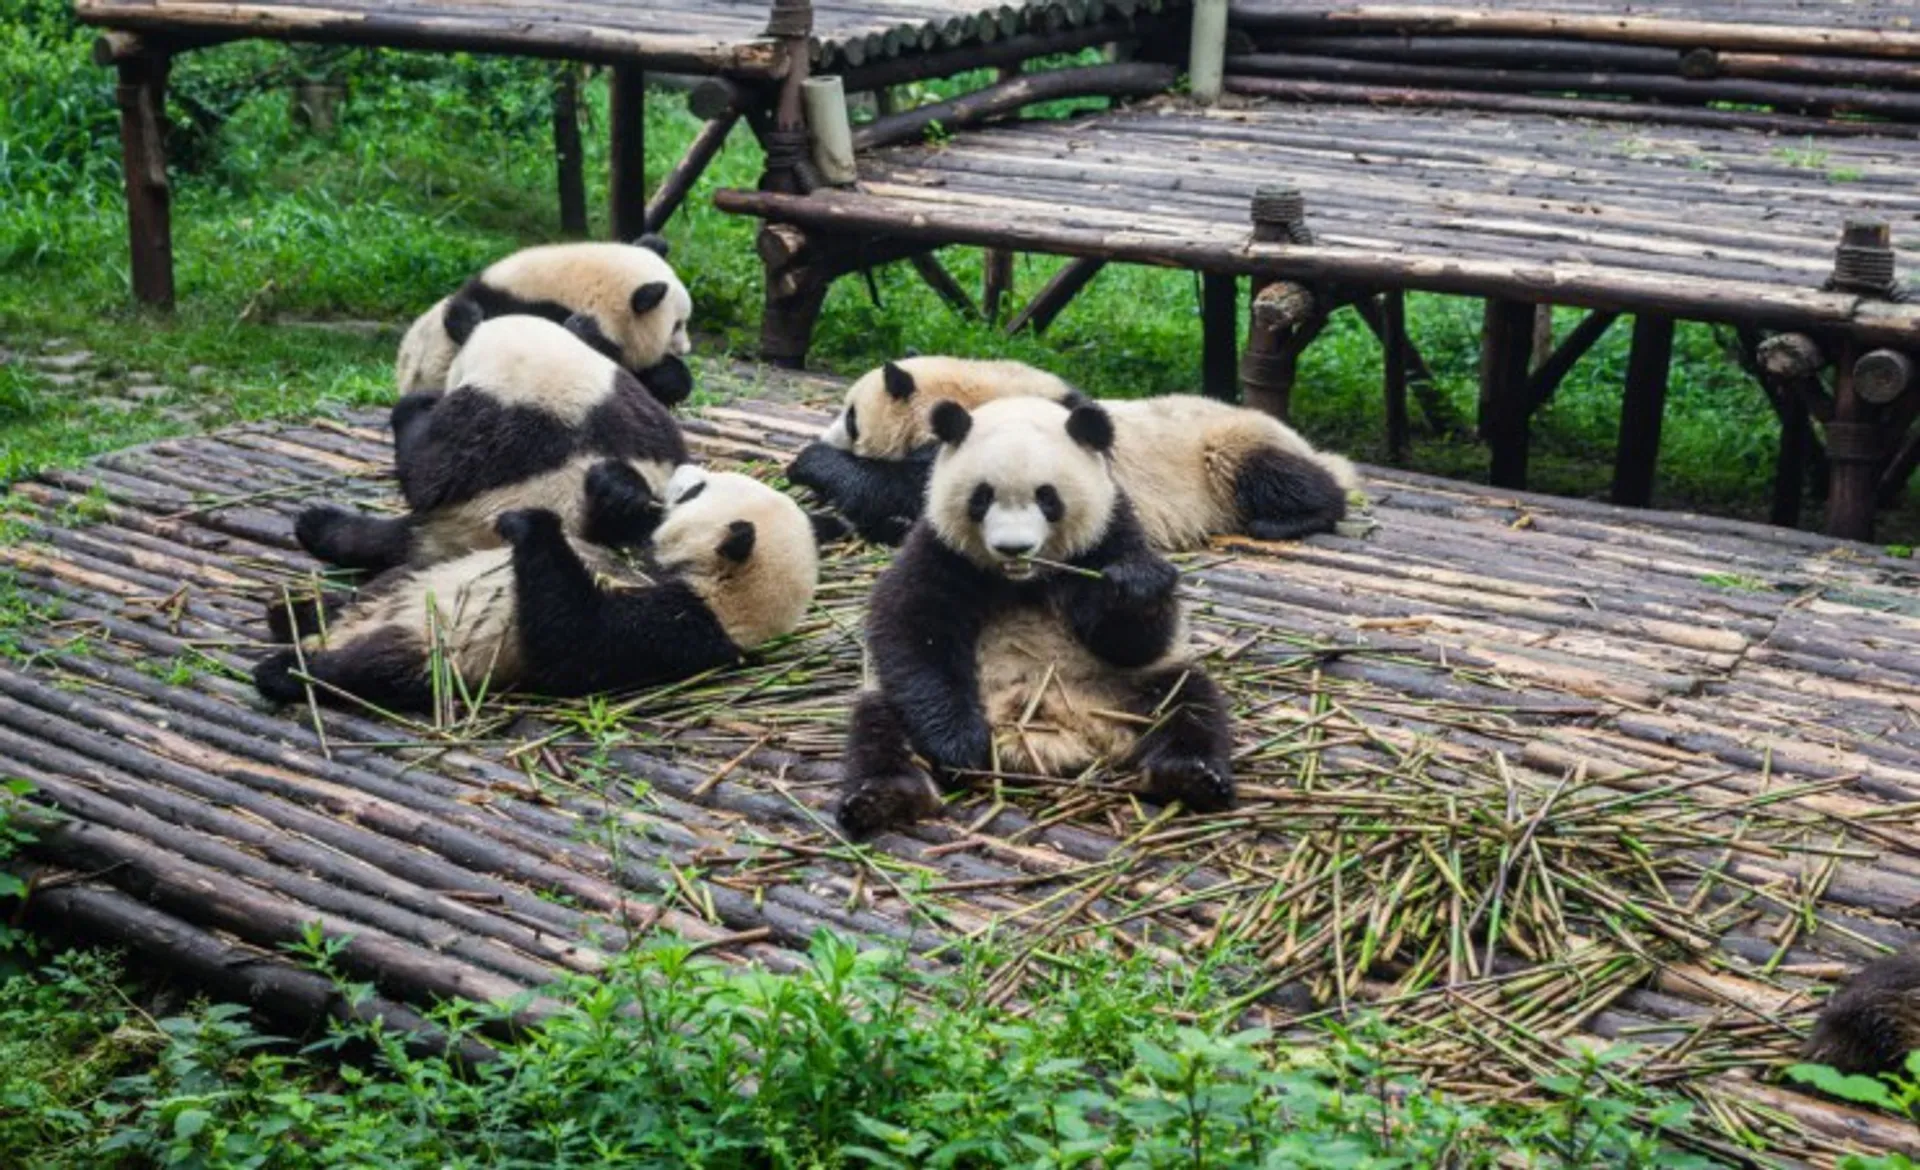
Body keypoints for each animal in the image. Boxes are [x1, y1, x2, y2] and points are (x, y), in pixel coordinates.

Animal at [254, 464, 818, 712]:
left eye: (698, 490)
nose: (682, 471)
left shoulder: (677, 627)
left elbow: (573, 640)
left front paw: (528, 524)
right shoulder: (634, 555)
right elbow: (612, 527)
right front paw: (616, 482)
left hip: (429, 655)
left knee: (371, 671)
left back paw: (288, 669)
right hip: (398, 589)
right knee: (381, 583)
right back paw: (294, 608)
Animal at [298, 314, 688, 574]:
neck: (537, 358)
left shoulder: (481, 420)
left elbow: (426, 476)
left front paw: (416, 406)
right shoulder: (631, 403)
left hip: (454, 529)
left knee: (378, 539)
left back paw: (317, 523)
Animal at [787, 356, 1359, 550]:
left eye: (851, 415)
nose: (830, 435)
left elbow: (905, 490)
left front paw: (811, 464)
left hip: (1226, 442)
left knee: (1272, 473)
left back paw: (1287, 518)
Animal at [835, 395, 1234, 840]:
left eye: (1047, 497)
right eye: (981, 497)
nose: (1014, 548)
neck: (1022, 581)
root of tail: (1064, 728)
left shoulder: (1107, 536)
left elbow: (1134, 640)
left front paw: (1137, 588)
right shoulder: (940, 547)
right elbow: (912, 627)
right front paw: (959, 745)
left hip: (1127, 691)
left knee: (1187, 702)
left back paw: (1191, 775)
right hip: (902, 702)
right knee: (880, 728)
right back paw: (884, 797)